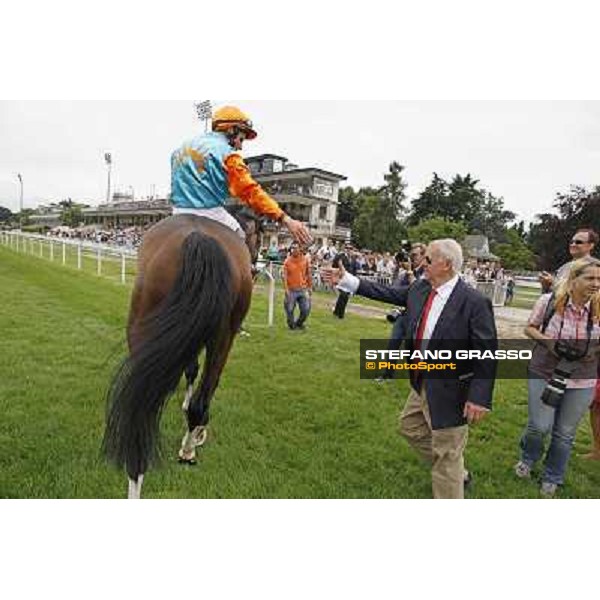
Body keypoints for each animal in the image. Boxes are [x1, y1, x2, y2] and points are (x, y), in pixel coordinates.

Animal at [102, 209, 262, 500]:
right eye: (261, 235)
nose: (256, 265)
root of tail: (198, 239)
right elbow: (195, 377)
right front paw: (196, 430)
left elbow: (190, 371)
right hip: (222, 334)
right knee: (195, 400)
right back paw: (187, 450)